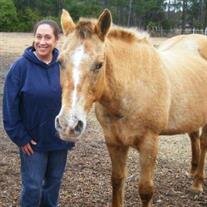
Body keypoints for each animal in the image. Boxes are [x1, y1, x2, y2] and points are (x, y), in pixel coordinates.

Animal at [55, 9, 207, 207]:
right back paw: (193, 171)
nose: (68, 125)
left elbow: (145, 190)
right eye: (59, 61)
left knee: (203, 143)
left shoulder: (149, 144)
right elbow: (117, 180)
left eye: (99, 64)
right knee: (194, 136)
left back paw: (197, 184)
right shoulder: (113, 141)